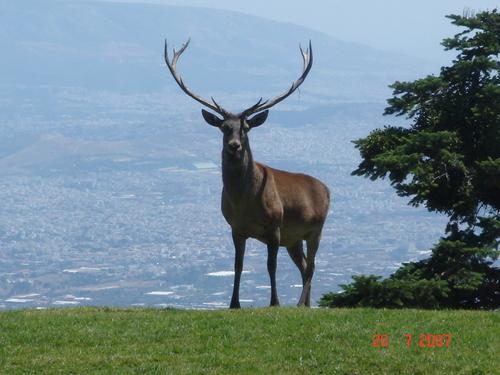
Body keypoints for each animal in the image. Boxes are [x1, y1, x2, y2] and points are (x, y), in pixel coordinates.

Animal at [163, 39, 328, 308]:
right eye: (223, 127)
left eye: (246, 128)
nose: (234, 146)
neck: (244, 203)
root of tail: (326, 189)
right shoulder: (236, 228)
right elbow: (237, 265)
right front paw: (234, 303)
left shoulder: (275, 226)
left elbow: (271, 266)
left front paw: (274, 302)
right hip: (294, 239)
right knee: (305, 266)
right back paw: (306, 305)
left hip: (316, 229)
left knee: (312, 266)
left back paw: (298, 303)